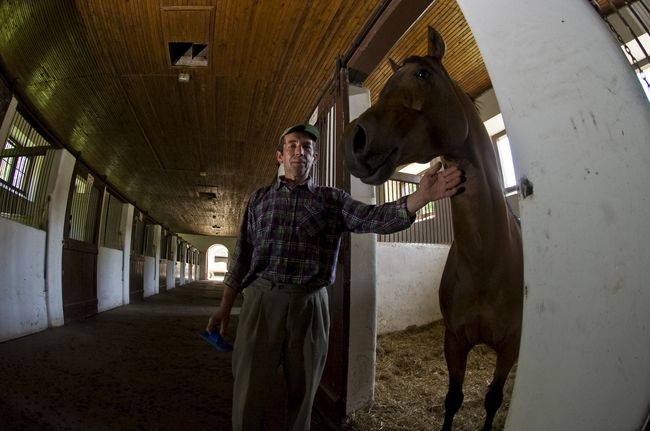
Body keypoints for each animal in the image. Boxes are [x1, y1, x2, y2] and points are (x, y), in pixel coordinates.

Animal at [342, 27, 524, 431]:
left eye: (422, 75)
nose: (352, 141)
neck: (486, 260)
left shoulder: (510, 347)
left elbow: (492, 399)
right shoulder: (453, 340)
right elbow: (453, 399)